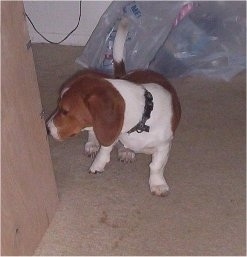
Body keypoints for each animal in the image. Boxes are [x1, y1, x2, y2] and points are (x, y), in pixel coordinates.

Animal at [46, 17, 181, 195]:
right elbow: (104, 149)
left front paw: (157, 184)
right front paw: (98, 164)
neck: (141, 118)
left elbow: (156, 166)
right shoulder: (109, 134)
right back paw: (100, 146)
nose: (47, 128)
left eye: (64, 111)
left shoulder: (164, 145)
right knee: (93, 135)